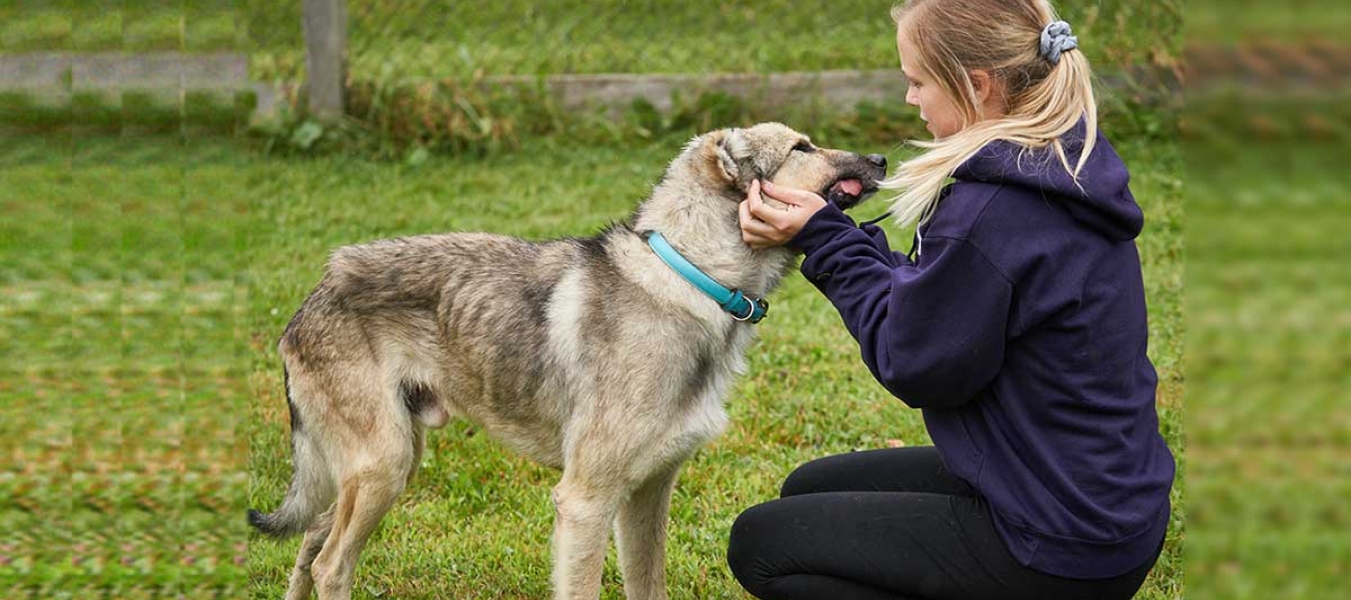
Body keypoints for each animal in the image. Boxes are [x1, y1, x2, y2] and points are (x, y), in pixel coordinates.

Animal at [251, 122, 886, 600]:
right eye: (801, 148)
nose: (882, 156)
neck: (690, 277)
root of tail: (314, 295)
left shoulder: (648, 496)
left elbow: (647, 586)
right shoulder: (586, 502)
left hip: (385, 466)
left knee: (311, 542)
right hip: (383, 466)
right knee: (330, 564)